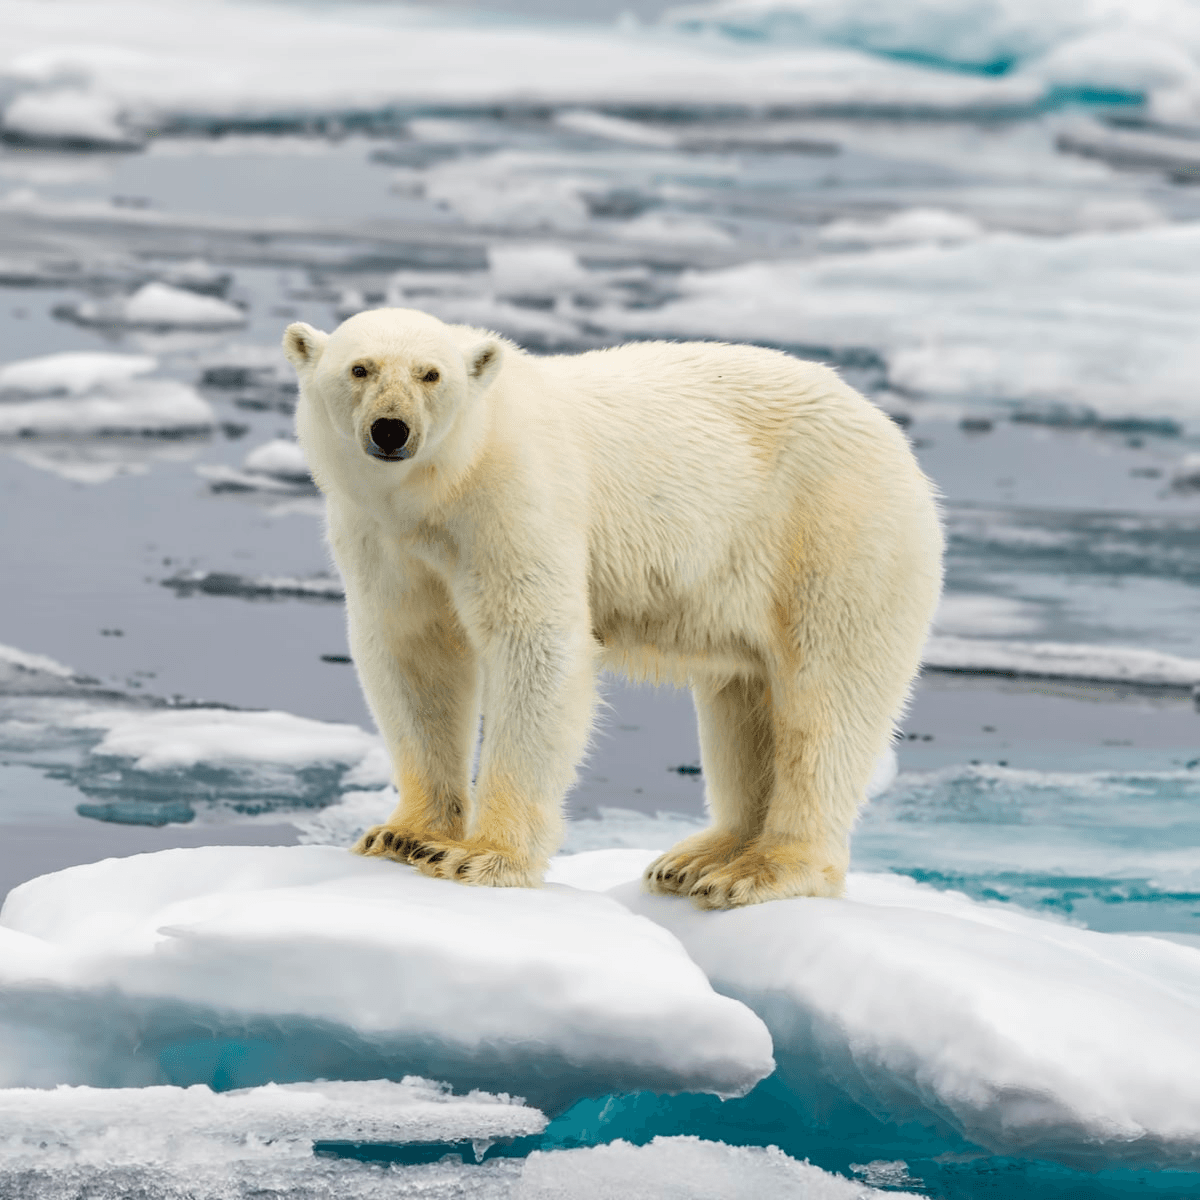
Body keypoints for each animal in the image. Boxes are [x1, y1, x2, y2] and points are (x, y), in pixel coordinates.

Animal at [285, 309, 940, 907]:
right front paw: (403, 836)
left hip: (834, 533)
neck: (443, 487)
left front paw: (483, 857)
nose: (391, 430)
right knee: (745, 699)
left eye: (431, 374)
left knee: (826, 700)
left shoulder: (515, 501)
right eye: (359, 368)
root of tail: (893, 438)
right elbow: (413, 655)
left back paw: (760, 871)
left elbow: (536, 644)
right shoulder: (383, 540)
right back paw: (697, 860)